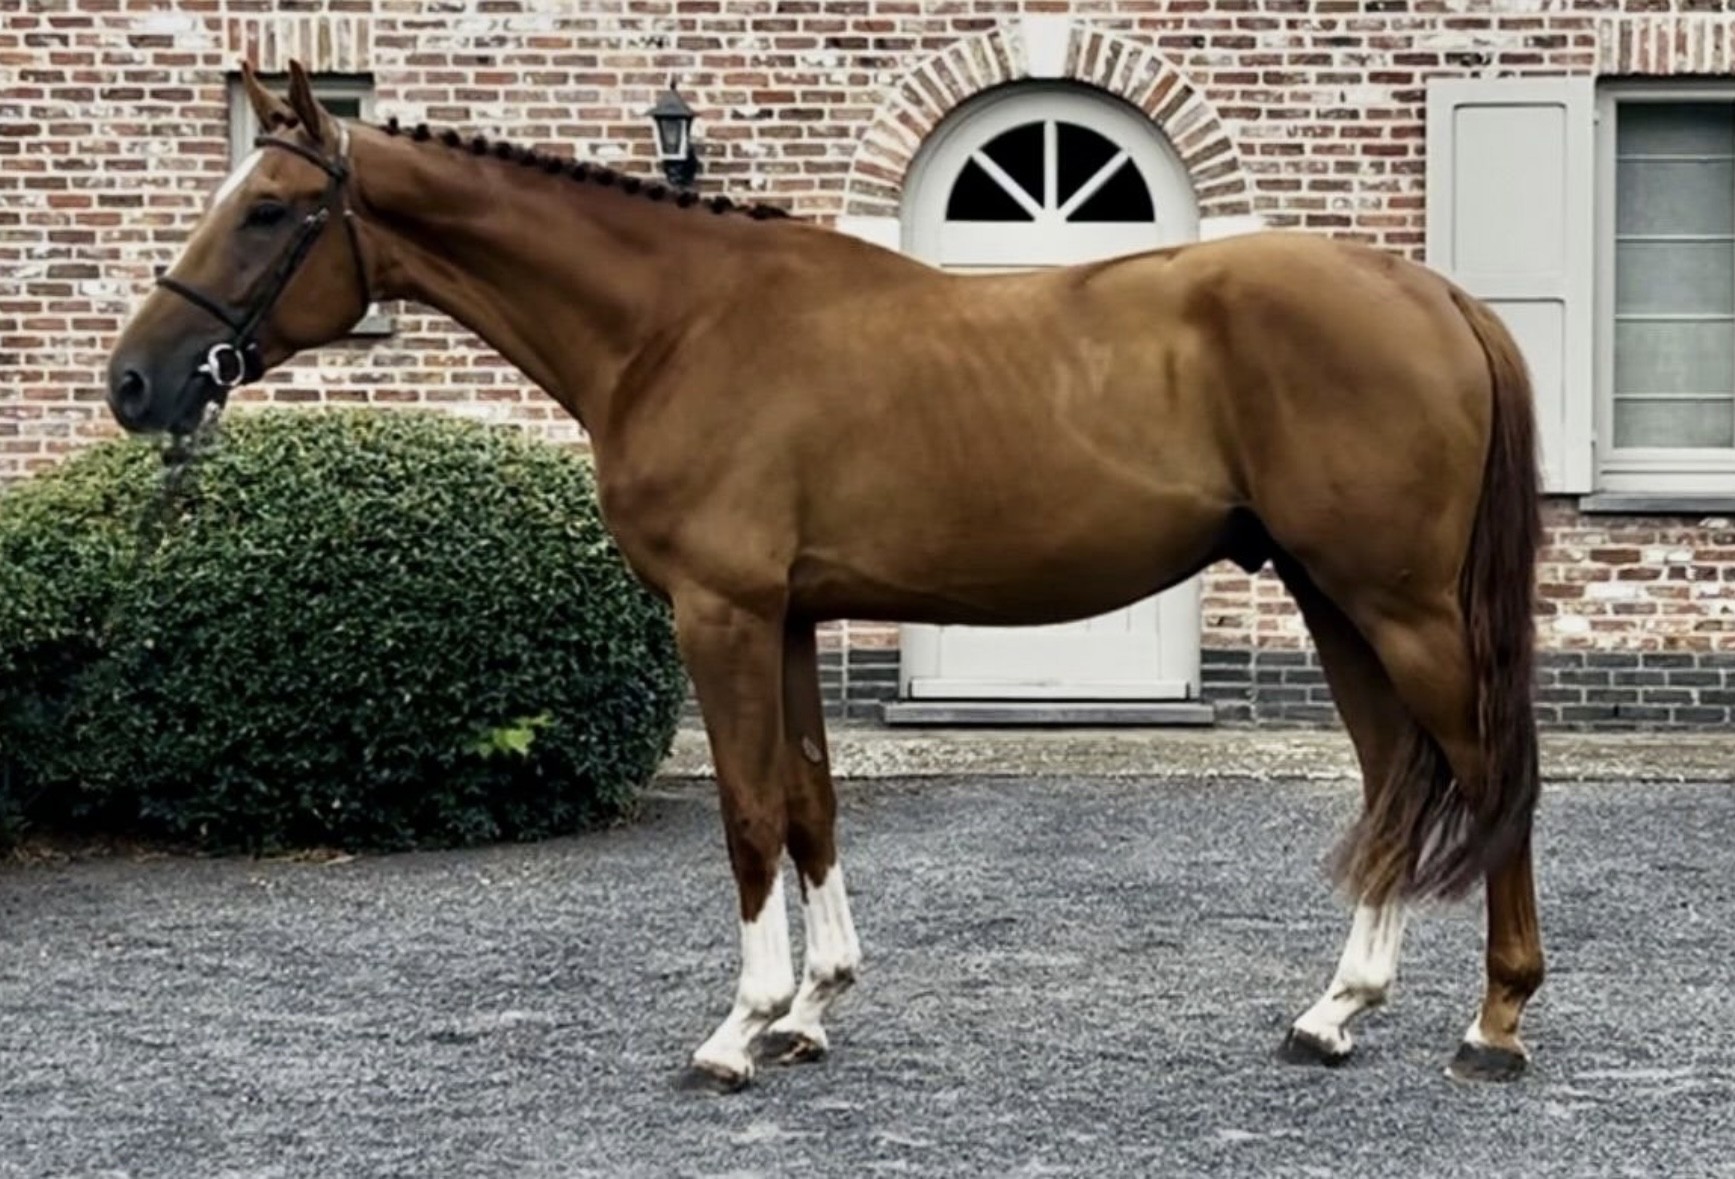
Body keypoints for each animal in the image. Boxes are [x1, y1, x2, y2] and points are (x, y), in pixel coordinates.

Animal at [103, 60, 1546, 1092]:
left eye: (269, 211)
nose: (135, 383)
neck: (674, 327)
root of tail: (1438, 298)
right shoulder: (789, 618)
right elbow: (809, 801)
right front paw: (811, 1006)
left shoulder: (721, 614)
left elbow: (748, 812)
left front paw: (737, 1030)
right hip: (1333, 600)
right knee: (1395, 781)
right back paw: (1334, 1012)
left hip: (1400, 609)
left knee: (1489, 782)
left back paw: (1493, 1022)